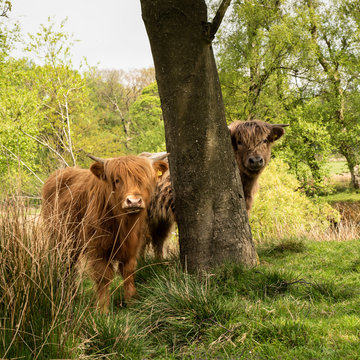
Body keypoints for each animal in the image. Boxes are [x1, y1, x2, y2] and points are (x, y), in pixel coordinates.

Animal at [41, 154, 168, 312]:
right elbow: (103, 277)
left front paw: (132, 300)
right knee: (66, 265)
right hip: (62, 240)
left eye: (143, 179)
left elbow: (129, 271)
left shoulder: (133, 246)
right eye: (117, 180)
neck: (122, 224)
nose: (133, 201)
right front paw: (102, 309)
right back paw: (67, 294)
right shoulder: (98, 249)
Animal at [143, 119, 286, 258]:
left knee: (158, 240)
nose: (256, 160)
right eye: (239, 142)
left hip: (161, 220)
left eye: (264, 140)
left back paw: (160, 261)